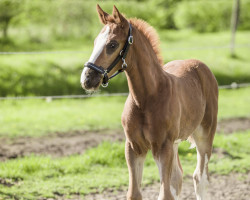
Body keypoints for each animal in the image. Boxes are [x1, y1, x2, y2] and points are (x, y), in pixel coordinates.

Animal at [80, 4, 217, 200]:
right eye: (95, 42)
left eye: (112, 44)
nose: (87, 79)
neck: (146, 98)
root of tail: (200, 65)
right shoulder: (133, 147)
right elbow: (134, 193)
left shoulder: (162, 147)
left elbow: (165, 194)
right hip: (175, 142)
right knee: (177, 177)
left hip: (204, 134)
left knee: (200, 177)